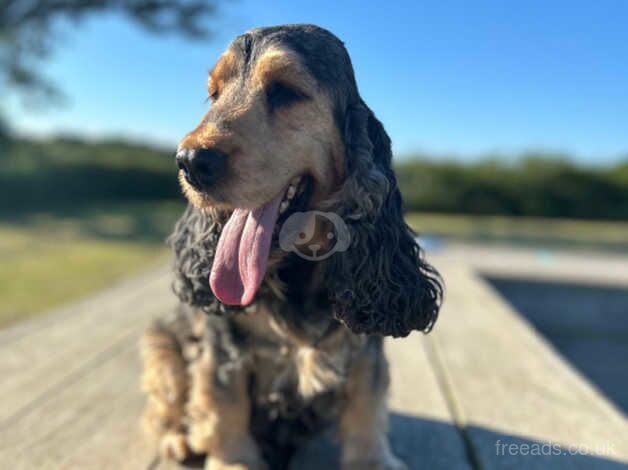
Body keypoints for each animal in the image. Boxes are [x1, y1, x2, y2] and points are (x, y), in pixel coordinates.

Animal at [140, 25, 444, 470]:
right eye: (214, 94)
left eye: (284, 91)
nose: (190, 162)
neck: (295, 270)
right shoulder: (221, 348)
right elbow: (222, 410)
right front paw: (232, 461)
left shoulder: (364, 350)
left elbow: (366, 408)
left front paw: (372, 459)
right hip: (161, 346)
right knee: (165, 406)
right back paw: (177, 439)